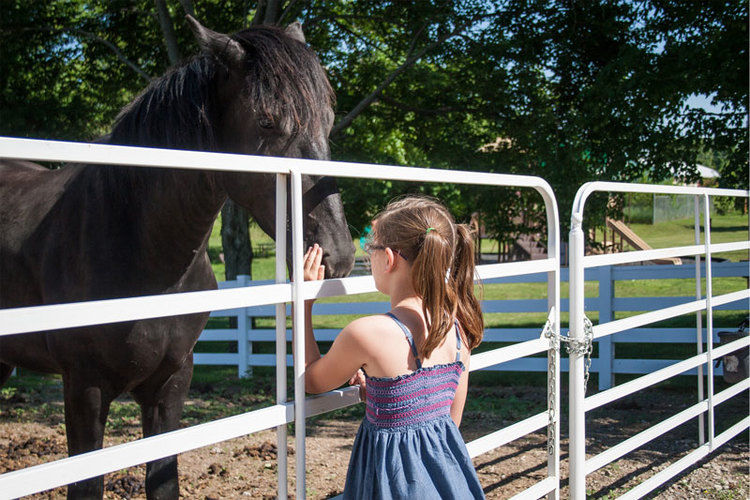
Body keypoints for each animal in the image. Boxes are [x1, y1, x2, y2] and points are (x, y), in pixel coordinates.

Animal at [0, 16, 356, 500]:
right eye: (266, 120)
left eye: (329, 120)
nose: (339, 254)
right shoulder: (84, 389)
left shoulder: (170, 385)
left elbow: (164, 480)